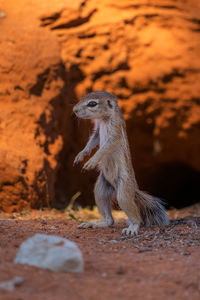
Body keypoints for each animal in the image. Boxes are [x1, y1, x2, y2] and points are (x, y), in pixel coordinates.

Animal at [72, 90, 168, 236]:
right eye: (83, 97)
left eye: (92, 103)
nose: (74, 110)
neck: (104, 119)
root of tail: (134, 191)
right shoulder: (98, 132)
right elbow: (92, 141)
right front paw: (81, 155)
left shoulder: (115, 131)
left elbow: (105, 147)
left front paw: (91, 161)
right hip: (101, 189)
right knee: (109, 219)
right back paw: (95, 223)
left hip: (123, 192)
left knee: (136, 217)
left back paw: (132, 228)